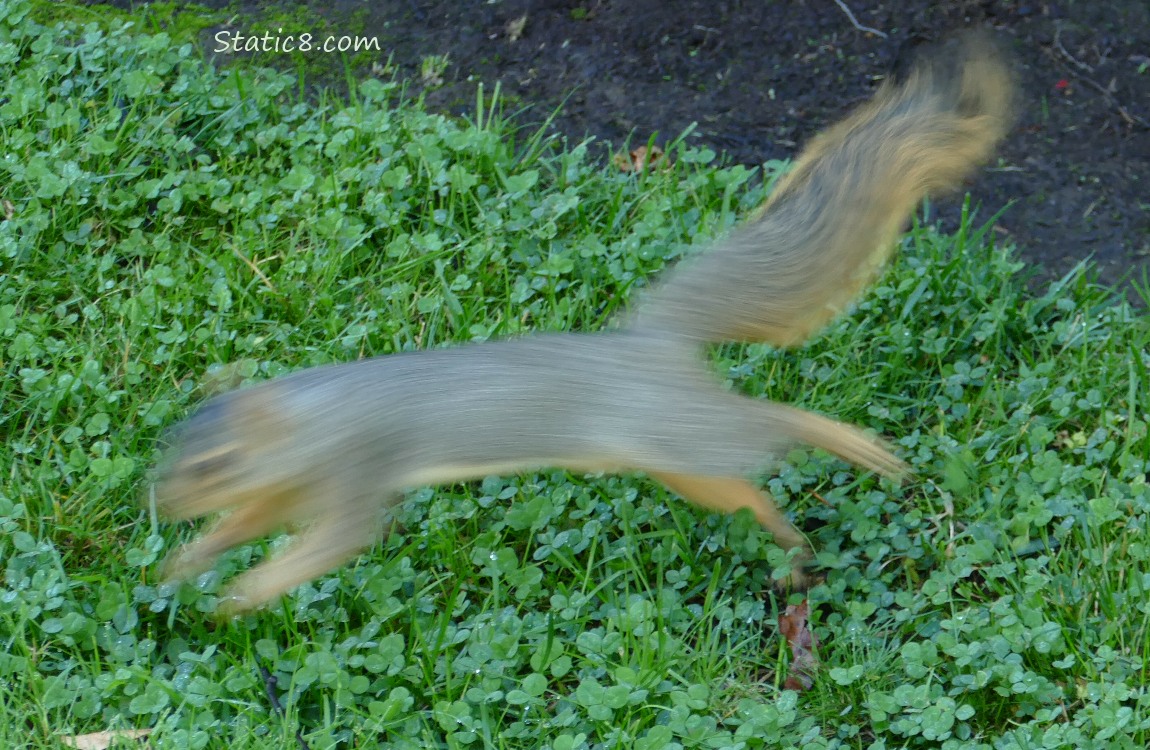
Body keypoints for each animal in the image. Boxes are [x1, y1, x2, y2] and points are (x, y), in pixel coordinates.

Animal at [150, 32, 1016, 611]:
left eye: (216, 463)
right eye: (174, 450)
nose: (162, 505)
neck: (310, 423)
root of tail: (648, 345)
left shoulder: (353, 470)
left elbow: (337, 542)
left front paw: (245, 592)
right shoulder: (295, 487)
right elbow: (258, 522)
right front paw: (191, 561)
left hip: (682, 431)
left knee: (771, 424)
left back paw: (857, 447)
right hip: (675, 462)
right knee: (746, 489)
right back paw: (793, 539)